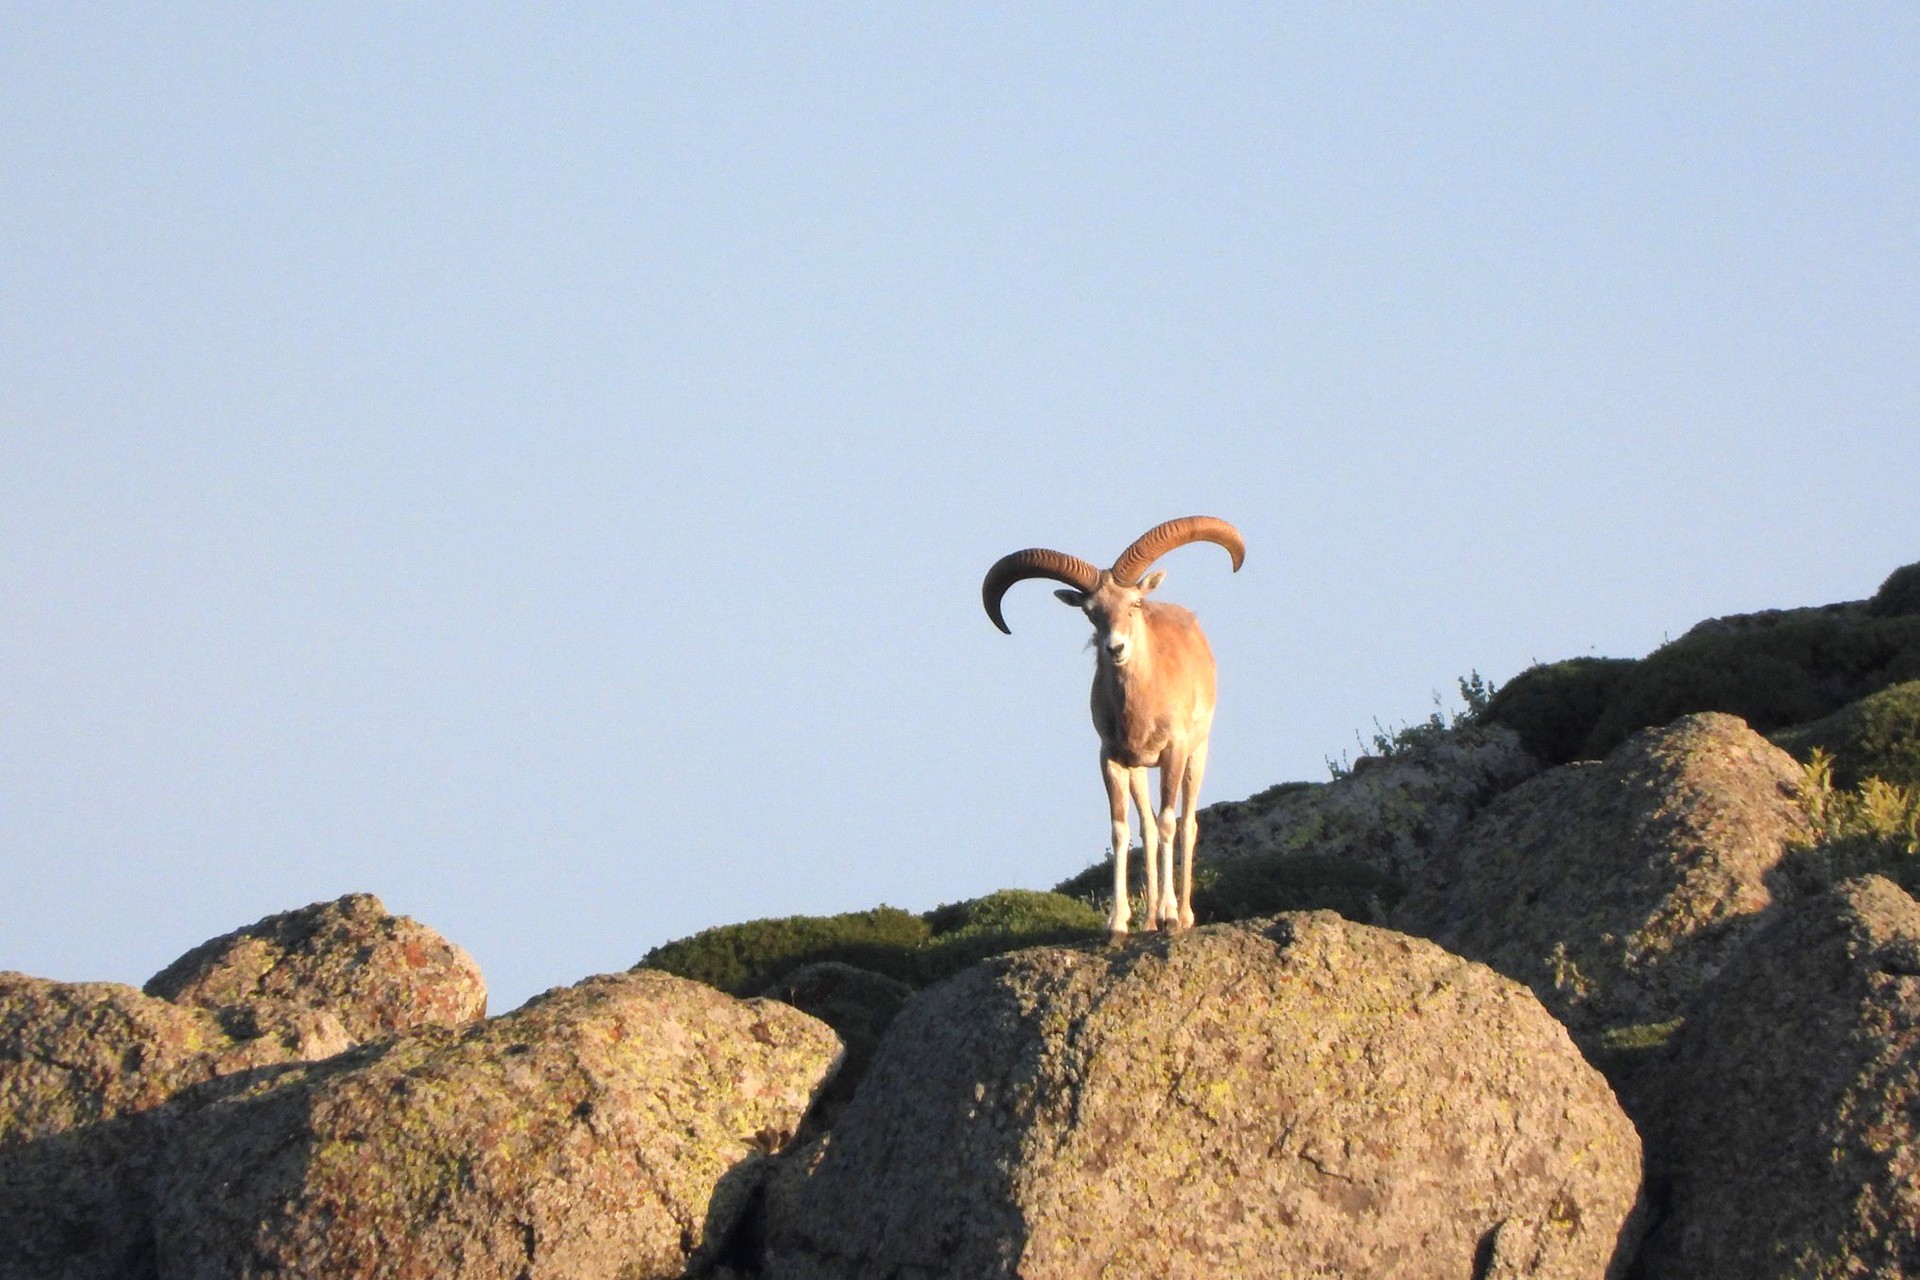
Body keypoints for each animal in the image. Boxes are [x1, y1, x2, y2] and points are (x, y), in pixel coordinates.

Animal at [975, 518, 1244, 940]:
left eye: (1133, 604)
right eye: (1091, 612)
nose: (1115, 648)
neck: (1143, 704)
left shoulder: (1174, 751)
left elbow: (1169, 823)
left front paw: (1171, 918)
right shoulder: (1113, 759)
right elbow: (1122, 830)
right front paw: (1118, 924)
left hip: (1196, 755)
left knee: (1187, 823)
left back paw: (1180, 915)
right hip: (1140, 771)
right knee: (1147, 826)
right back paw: (1150, 919)